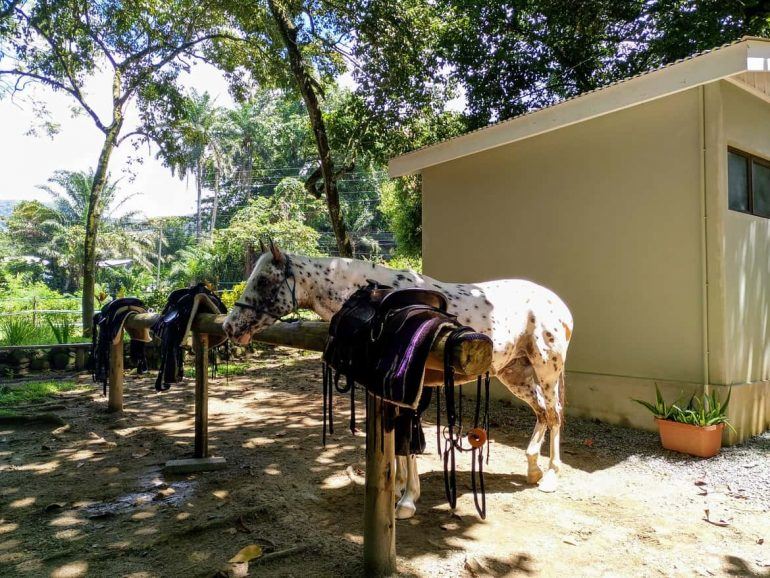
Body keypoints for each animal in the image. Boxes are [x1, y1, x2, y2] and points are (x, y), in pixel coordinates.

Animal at [222, 243, 568, 516]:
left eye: (264, 279)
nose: (229, 326)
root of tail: (558, 304)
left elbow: (408, 441)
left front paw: (407, 500)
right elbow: (400, 442)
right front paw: (401, 487)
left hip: (547, 371)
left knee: (554, 416)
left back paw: (551, 477)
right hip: (515, 373)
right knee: (541, 413)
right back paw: (533, 469)